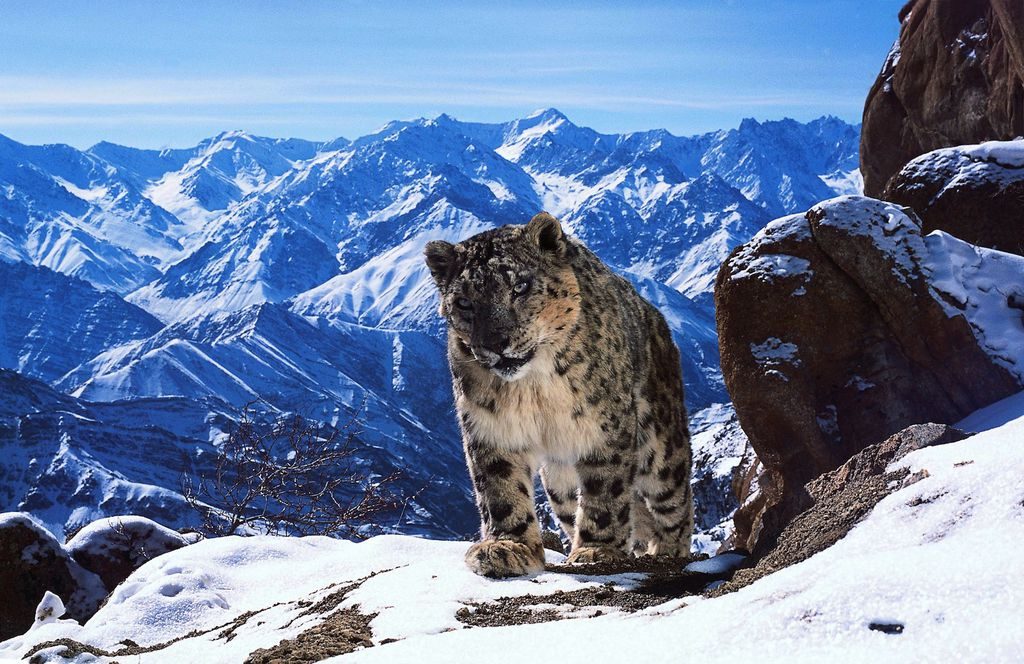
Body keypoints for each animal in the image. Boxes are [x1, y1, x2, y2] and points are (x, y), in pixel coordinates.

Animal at [423, 213, 696, 573]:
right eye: (464, 303)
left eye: (520, 286)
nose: (496, 344)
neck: (534, 387)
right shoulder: (491, 429)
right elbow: (500, 489)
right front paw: (507, 546)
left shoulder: (604, 429)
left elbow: (605, 490)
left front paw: (596, 550)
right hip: (559, 486)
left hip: (662, 446)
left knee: (674, 503)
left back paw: (667, 551)